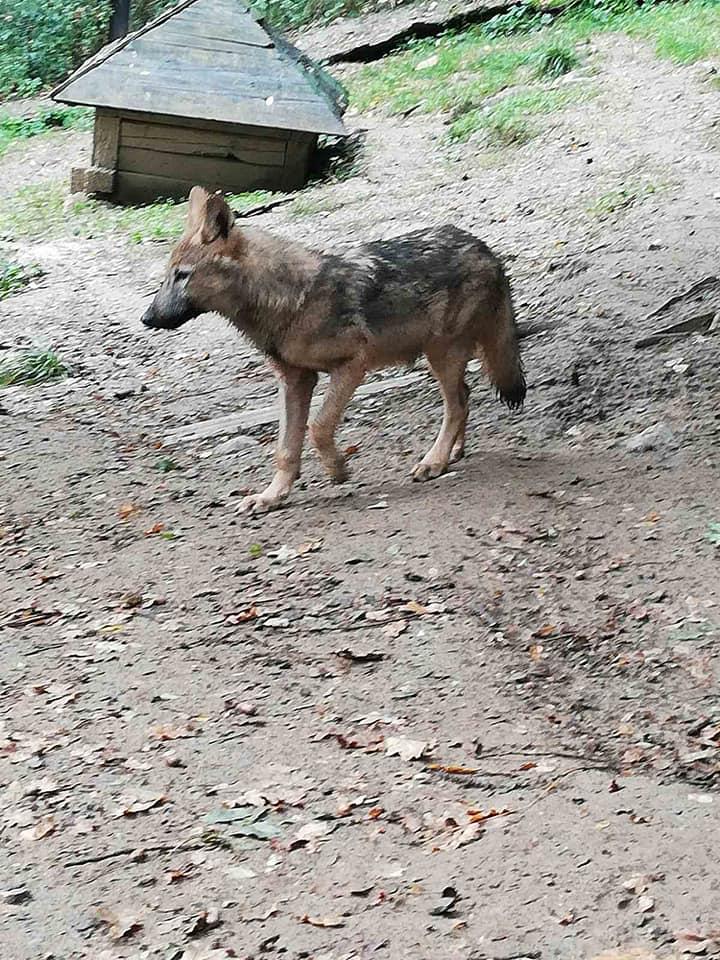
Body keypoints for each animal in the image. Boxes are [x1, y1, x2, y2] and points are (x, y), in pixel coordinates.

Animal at [142, 189, 524, 516]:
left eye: (182, 276)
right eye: (166, 277)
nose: (146, 318)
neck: (288, 301)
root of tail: (484, 248)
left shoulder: (352, 365)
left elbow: (319, 427)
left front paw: (338, 469)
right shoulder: (295, 380)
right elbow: (285, 449)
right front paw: (271, 497)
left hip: (441, 355)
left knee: (457, 404)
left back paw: (434, 461)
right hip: (443, 358)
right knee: (465, 396)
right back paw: (453, 453)